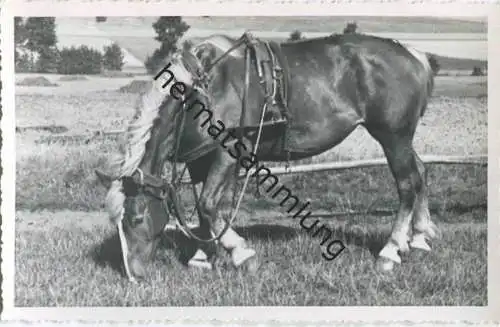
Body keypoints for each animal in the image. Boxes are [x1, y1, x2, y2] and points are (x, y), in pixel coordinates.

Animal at [95, 31, 440, 282]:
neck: (200, 93)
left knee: (407, 184)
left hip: (393, 136)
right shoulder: (199, 158)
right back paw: (420, 238)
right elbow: (206, 208)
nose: (134, 276)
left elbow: (209, 204)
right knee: (421, 173)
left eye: (135, 217)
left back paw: (391, 250)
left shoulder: (228, 150)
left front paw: (240, 254)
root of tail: (414, 55)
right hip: (401, 139)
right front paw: (204, 256)